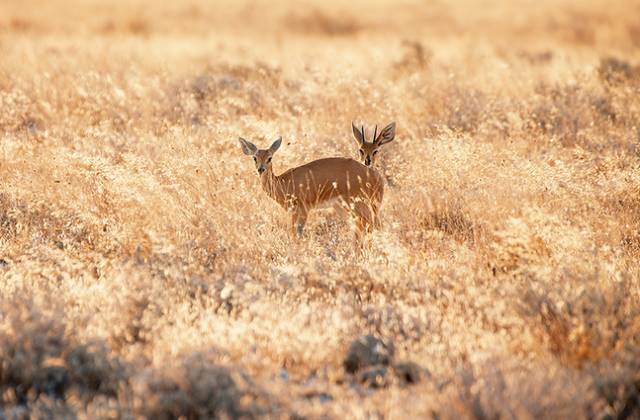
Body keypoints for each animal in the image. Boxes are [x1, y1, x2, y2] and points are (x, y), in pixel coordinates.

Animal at [238, 136, 382, 238]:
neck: (283, 183)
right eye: (255, 158)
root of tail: (375, 176)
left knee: (370, 225)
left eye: (269, 158)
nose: (261, 169)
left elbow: (296, 234)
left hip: (358, 204)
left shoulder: (303, 210)